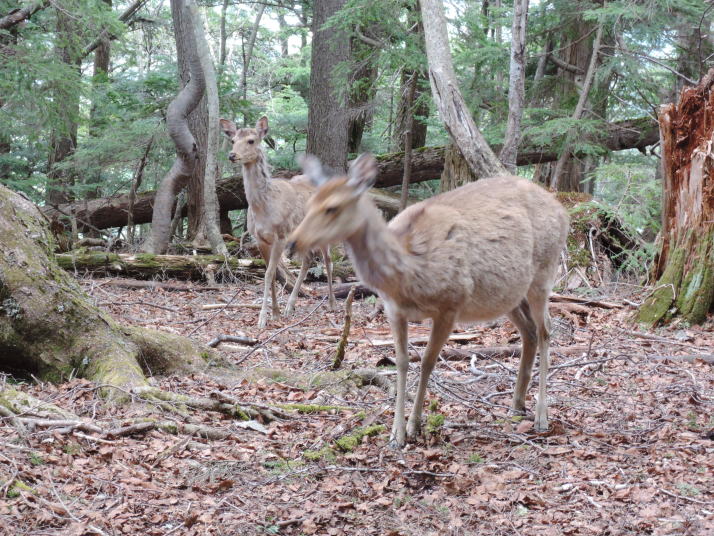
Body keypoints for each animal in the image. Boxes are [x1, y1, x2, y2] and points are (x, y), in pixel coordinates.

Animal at [218, 116, 336, 326]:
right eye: (233, 140)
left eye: (251, 140)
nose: (232, 155)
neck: (264, 207)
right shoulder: (259, 238)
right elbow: (272, 273)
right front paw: (275, 312)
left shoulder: (281, 234)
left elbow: (268, 274)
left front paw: (263, 318)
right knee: (308, 260)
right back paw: (290, 306)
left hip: (322, 227)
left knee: (328, 261)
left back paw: (331, 303)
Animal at [286, 153, 572, 446]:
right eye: (309, 204)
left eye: (332, 208)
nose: (292, 243)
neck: (408, 270)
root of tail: (562, 210)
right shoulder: (393, 310)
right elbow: (401, 362)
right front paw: (396, 433)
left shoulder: (451, 304)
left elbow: (426, 362)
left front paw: (414, 426)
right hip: (509, 296)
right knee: (529, 332)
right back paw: (517, 404)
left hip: (544, 273)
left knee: (546, 329)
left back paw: (541, 416)